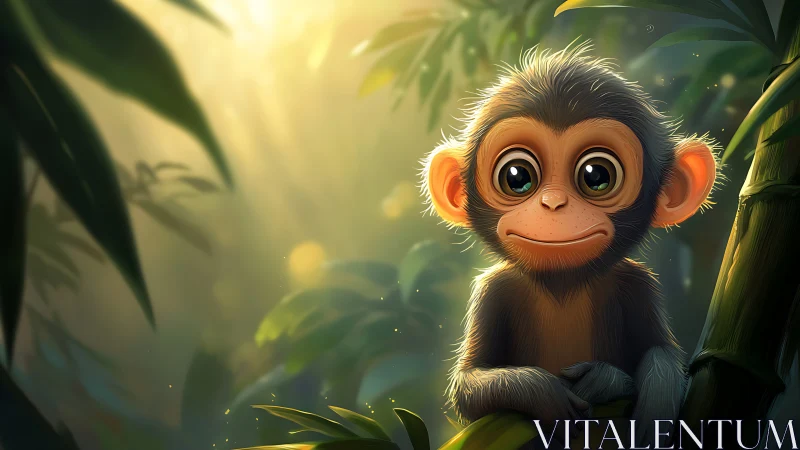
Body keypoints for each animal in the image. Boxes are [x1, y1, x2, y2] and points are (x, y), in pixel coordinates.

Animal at [421, 42, 718, 447]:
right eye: (517, 176)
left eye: (596, 175)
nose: (553, 203)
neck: (563, 283)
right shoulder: (493, 289)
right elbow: (469, 387)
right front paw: (543, 393)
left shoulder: (637, 282)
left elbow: (663, 355)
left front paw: (619, 387)